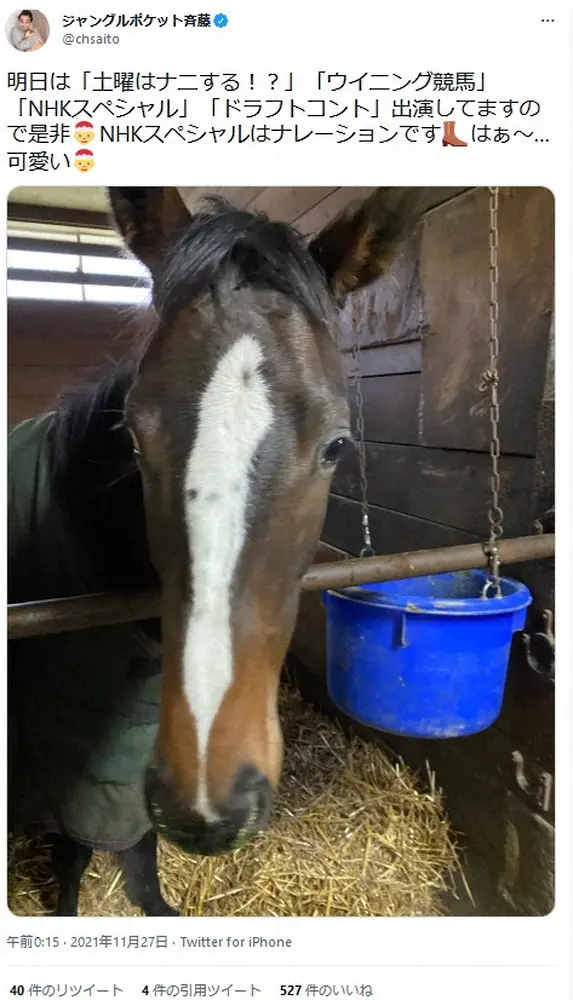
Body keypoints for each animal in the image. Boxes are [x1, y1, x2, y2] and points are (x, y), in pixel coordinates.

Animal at [8, 186, 414, 916]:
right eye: (132, 435)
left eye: (337, 445)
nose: (206, 805)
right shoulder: (67, 752)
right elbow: (77, 850)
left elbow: (138, 848)